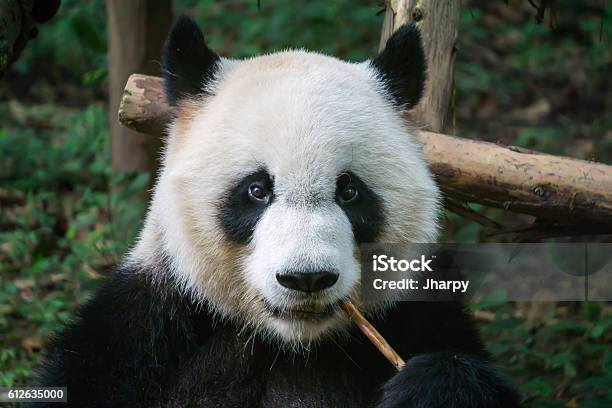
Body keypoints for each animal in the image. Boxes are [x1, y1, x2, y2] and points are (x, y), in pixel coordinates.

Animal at [33, 15, 520, 408]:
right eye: (256, 190)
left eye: (349, 191)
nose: (307, 278)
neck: (291, 346)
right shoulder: (146, 331)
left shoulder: (416, 313)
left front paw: (429, 386)